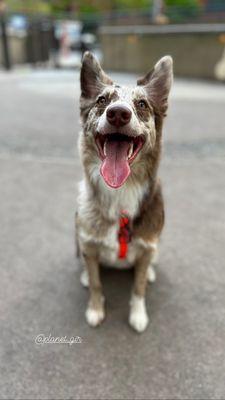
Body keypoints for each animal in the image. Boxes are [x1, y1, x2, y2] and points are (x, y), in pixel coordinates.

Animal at [75, 51, 172, 332]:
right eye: (102, 100)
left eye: (142, 104)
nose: (118, 113)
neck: (120, 193)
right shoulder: (88, 243)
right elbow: (96, 283)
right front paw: (95, 310)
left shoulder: (147, 246)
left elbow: (138, 288)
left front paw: (138, 315)